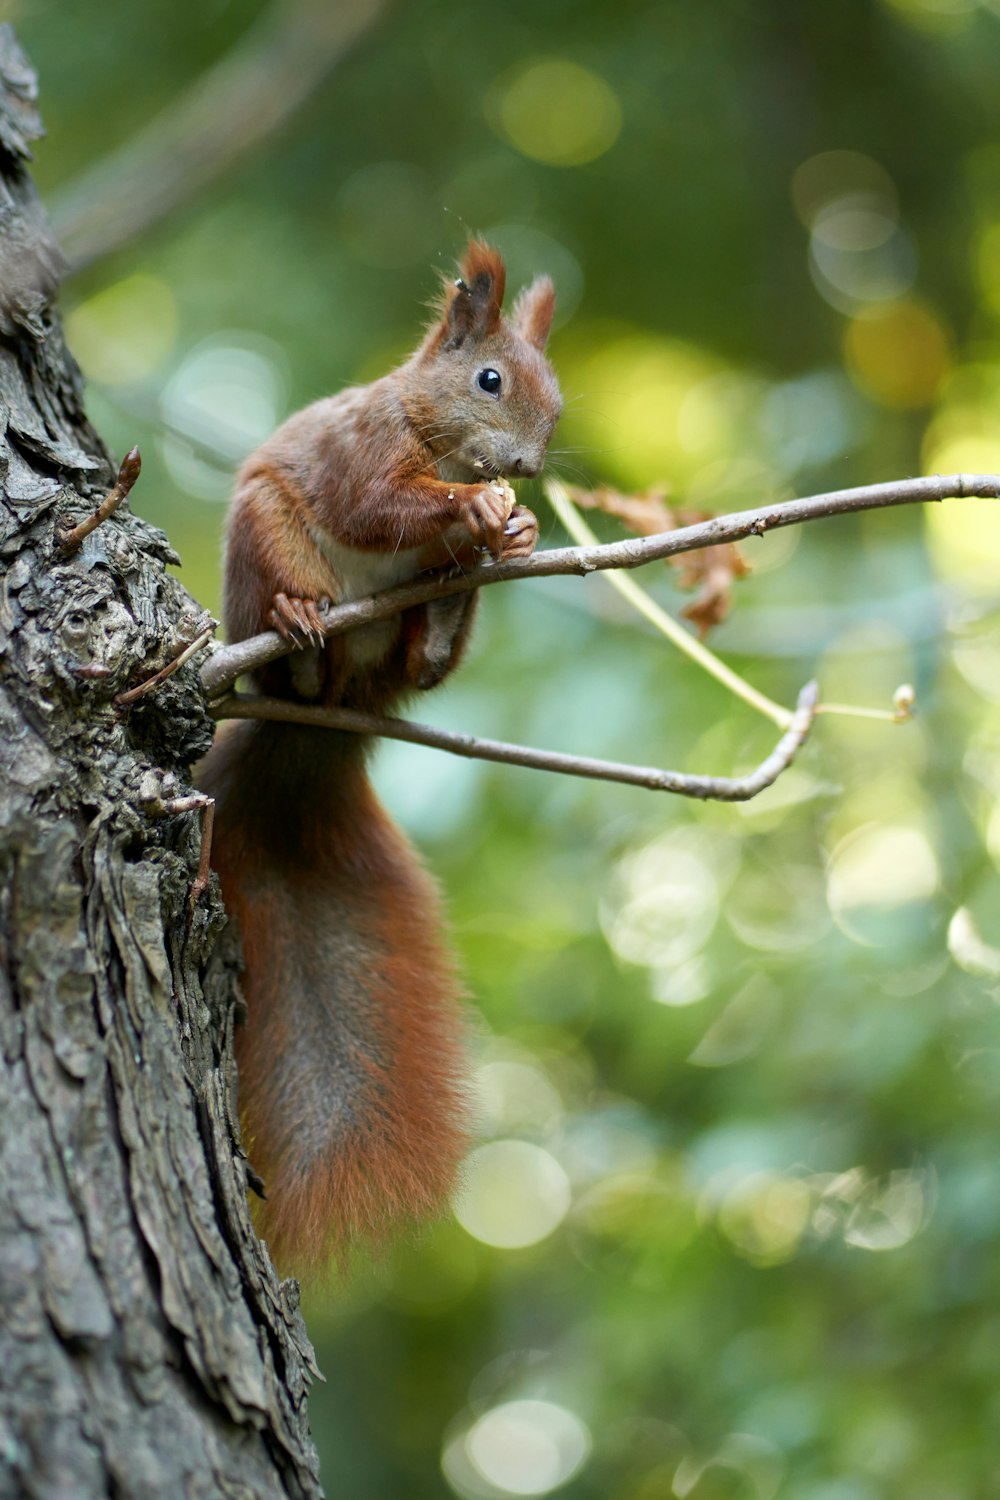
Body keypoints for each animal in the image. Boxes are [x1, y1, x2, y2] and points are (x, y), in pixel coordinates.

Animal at [194, 240, 563, 1272]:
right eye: (489, 380)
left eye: (556, 399)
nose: (526, 467)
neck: (427, 429)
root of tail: (325, 718)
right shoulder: (364, 453)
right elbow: (378, 506)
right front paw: (476, 504)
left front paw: (515, 525)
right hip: (267, 529)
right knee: (302, 610)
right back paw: (298, 629)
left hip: (395, 641)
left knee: (423, 663)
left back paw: (440, 619)